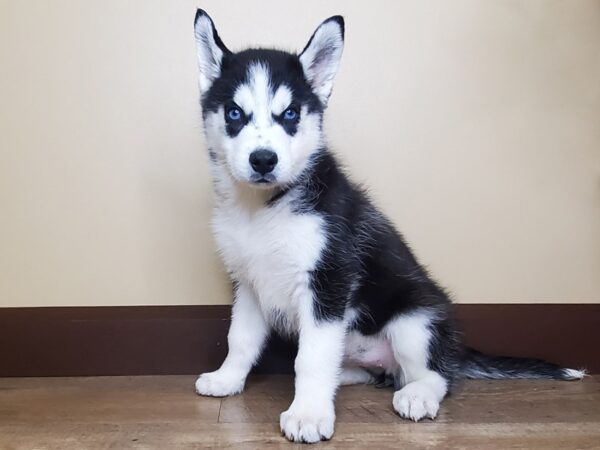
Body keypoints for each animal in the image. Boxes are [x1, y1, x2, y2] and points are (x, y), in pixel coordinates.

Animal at [193, 9, 584, 442]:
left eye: (290, 114)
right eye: (234, 113)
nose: (263, 159)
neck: (262, 208)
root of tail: (453, 349)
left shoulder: (329, 281)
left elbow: (311, 358)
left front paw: (309, 413)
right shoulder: (248, 281)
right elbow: (241, 338)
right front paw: (227, 379)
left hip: (415, 321)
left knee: (435, 376)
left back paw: (418, 395)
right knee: (369, 371)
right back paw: (348, 377)